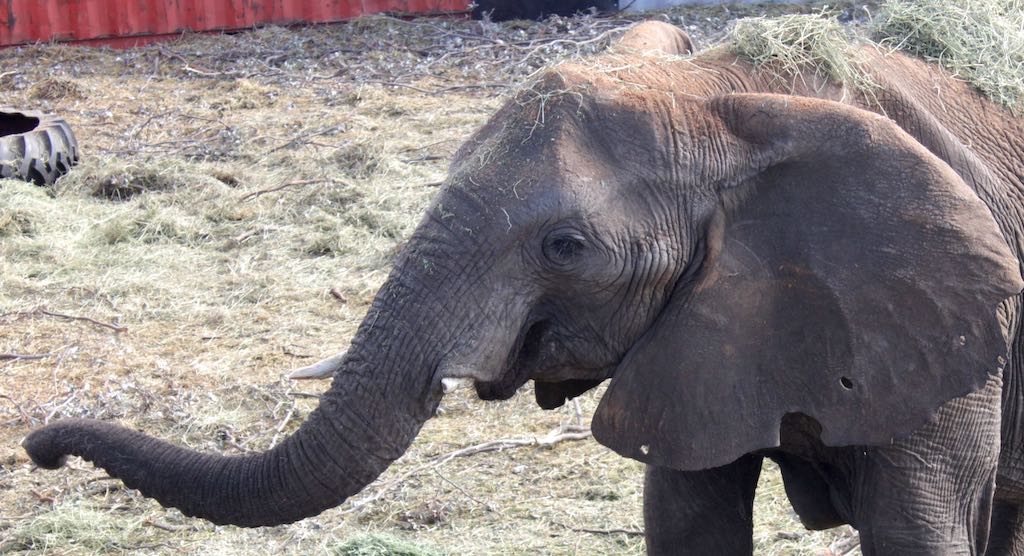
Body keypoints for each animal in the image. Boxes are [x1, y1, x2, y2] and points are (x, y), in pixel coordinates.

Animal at [21, 20, 1024, 554]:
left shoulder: (936, 330)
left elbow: (915, 533)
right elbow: (687, 520)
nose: (39, 448)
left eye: (566, 246)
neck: (717, 94)